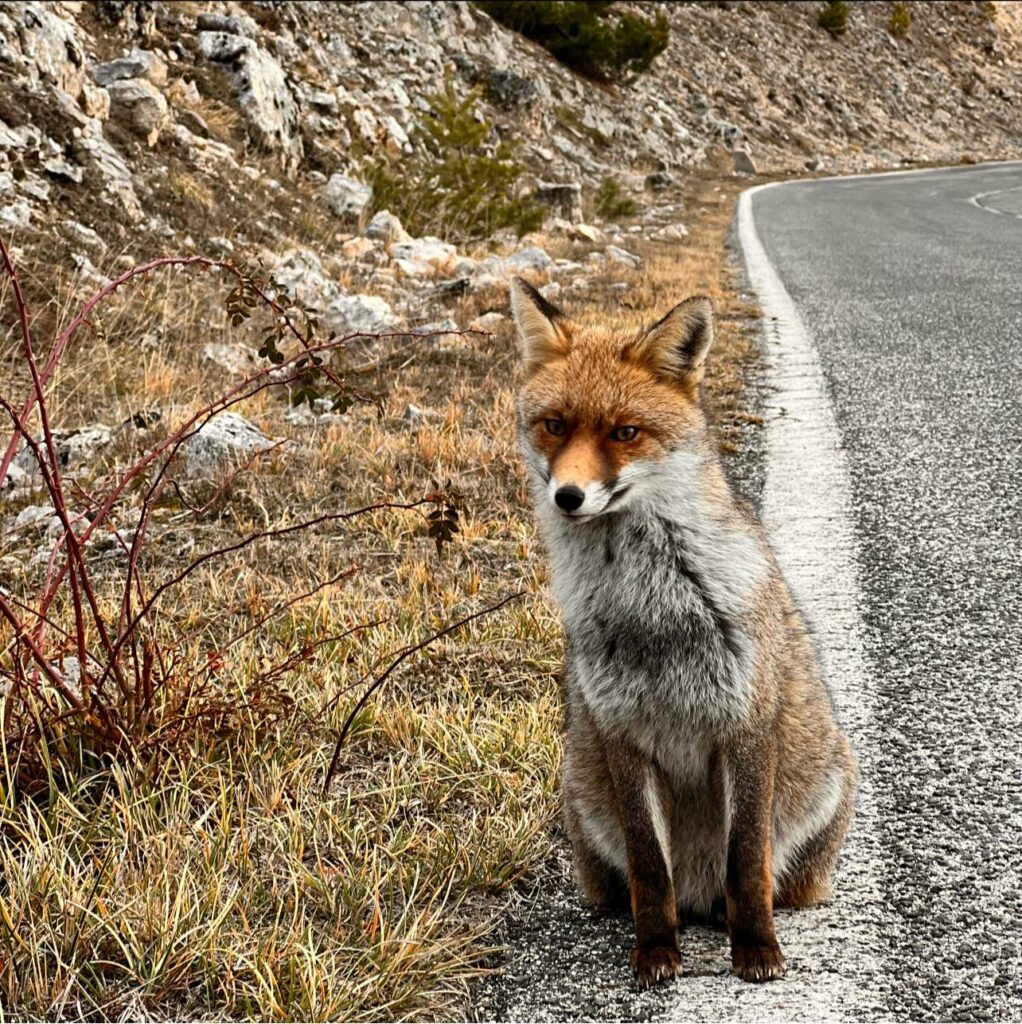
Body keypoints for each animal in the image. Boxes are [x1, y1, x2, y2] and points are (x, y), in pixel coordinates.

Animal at [509, 276, 856, 987]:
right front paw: (655, 953)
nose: (568, 497)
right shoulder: (623, 733)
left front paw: (756, 951)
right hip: (584, 809)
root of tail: (700, 898)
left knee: (764, 882)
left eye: (626, 432)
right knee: (643, 886)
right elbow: (650, 869)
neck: (656, 611)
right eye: (555, 425)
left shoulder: (744, 723)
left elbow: (748, 861)